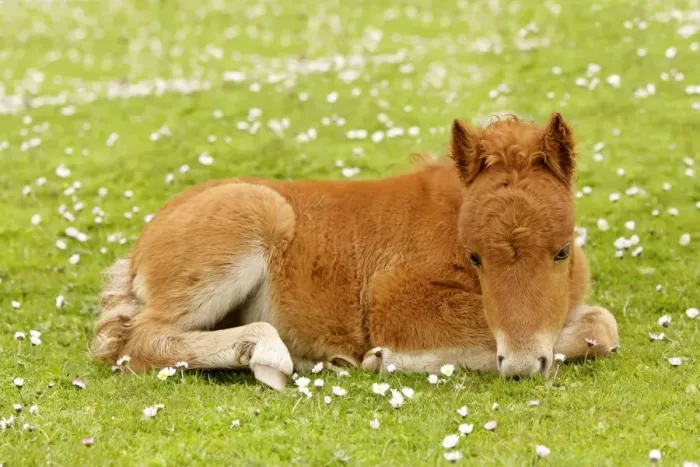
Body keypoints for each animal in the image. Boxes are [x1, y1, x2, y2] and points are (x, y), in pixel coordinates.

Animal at [90, 112, 619, 390]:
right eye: (475, 257)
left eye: (562, 252)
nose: (526, 365)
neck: (449, 216)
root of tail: (141, 247)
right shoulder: (393, 300)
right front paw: (385, 360)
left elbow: (601, 324)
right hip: (254, 219)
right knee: (139, 341)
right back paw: (267, 353)